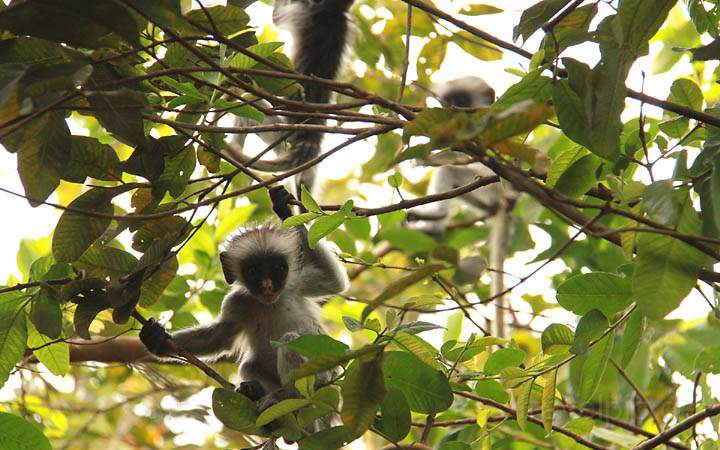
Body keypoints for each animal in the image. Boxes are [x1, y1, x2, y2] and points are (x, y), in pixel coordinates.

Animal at [140, 186, 348, 408]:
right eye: (253, 271)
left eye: (277, 268)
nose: (267, 285)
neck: (268, 304)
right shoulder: (236, 302)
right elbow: (220, 336)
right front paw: (157, 340)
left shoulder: (295, 283)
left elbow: (334, 282)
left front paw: (284, 209)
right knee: (249, 365)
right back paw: (257, 393)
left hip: (324, 374)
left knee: (290, 340)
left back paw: (293, 400)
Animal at [226, 0, 356, 197]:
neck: (331, 13)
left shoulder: (303, 12)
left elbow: (277, 17)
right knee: (305, 182)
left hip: (280, 134)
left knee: (249, 102)